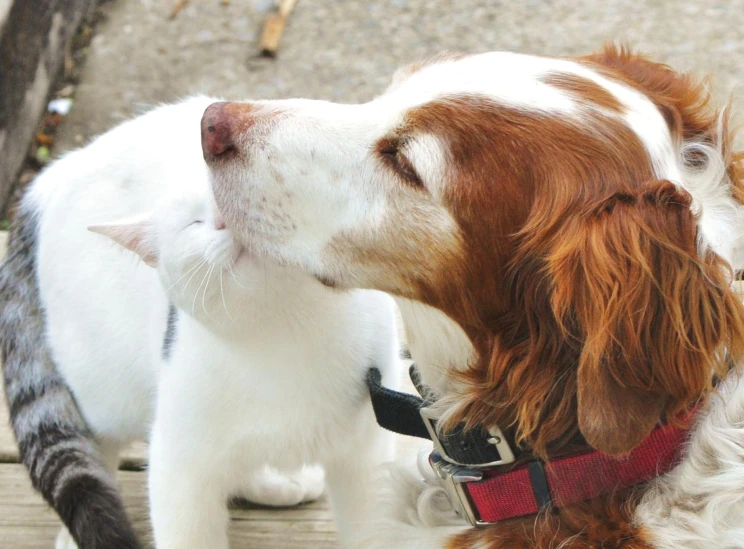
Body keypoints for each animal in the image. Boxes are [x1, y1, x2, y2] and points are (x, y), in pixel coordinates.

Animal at [0, 96, 402, 544]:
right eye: (192, 222)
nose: (225, 218)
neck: (288, 335)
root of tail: (48, 181)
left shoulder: (367, 453)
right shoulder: (178, 462)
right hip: (104, 385)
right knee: (92, 444)